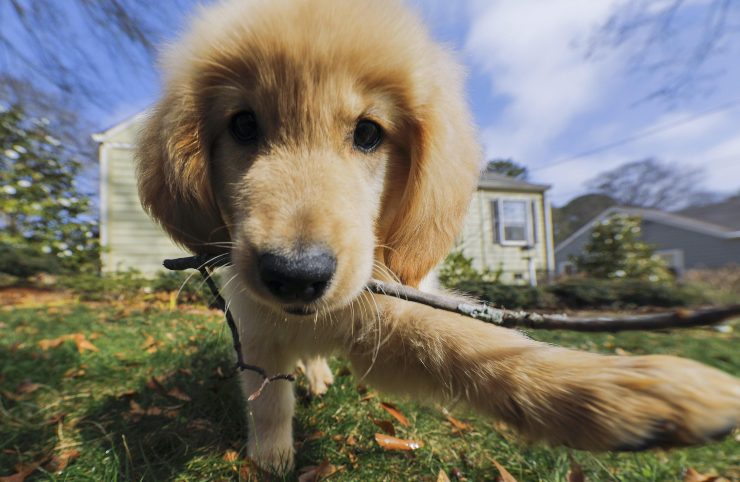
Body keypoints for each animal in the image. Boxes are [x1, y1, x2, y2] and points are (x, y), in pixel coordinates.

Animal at [136, 0, 736, 474]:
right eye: (242, 125)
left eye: (368, 133)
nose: (295, 276)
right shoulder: (258, 330)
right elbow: (268, 399)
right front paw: (271, 456)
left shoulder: (383, 306)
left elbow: (469, 343)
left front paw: (622, 394)